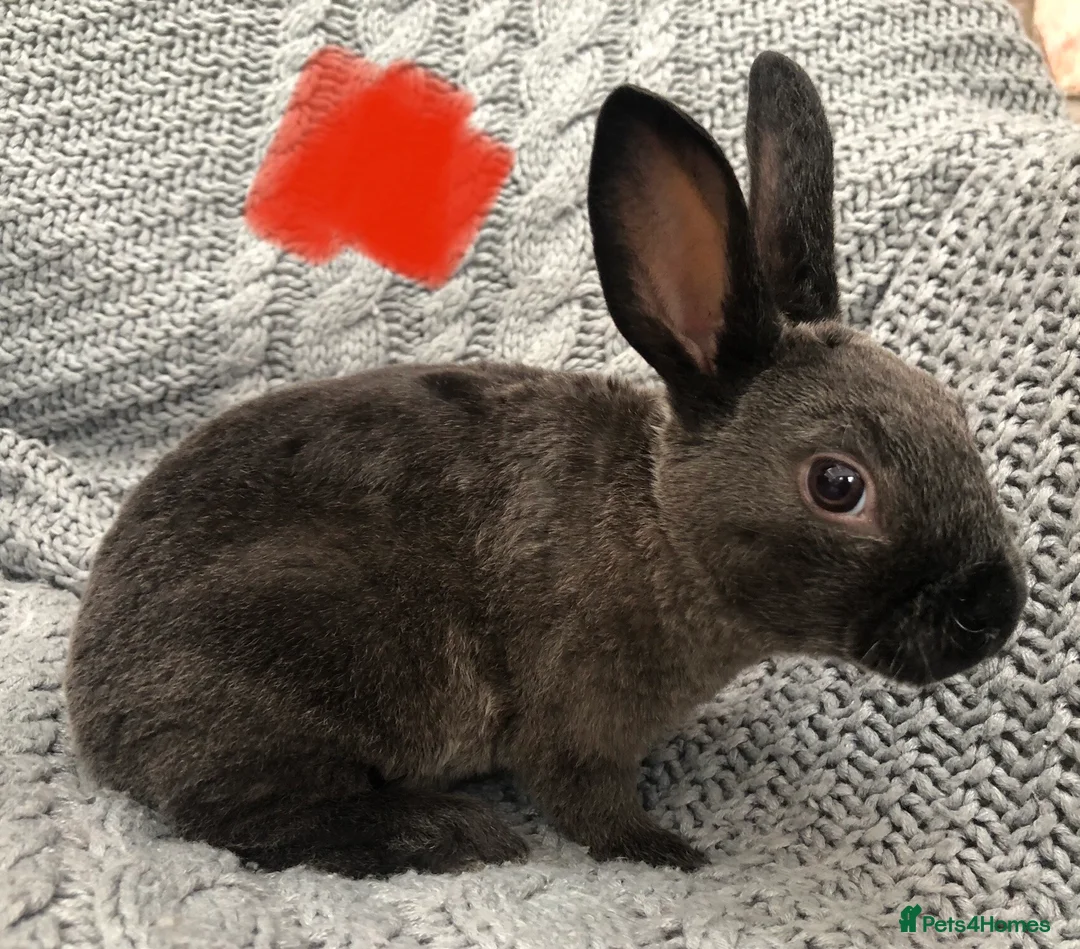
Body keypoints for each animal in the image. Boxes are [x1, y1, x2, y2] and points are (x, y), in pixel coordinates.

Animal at [65, 51, 1027, 879]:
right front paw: (668, 851)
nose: (996, 610)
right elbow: (588, 805)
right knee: (242, 817)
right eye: (838, 484)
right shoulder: (575, 723)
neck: (664, 526)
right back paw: (451, 831)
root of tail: (95, 700)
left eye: (957, 417)